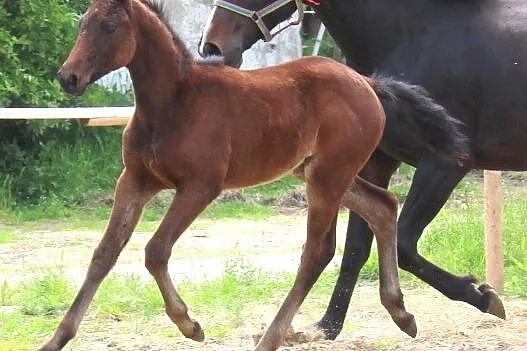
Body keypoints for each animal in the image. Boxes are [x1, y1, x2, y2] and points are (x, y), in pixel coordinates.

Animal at [42, 0, 424, 350]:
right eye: (82, 24)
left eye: (109, 27)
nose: (68, 77)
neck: (174, 102)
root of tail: (367, 82)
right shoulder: (135, 180)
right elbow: (104, 253)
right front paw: (56, 339)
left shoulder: (201, 186)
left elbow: (156, 250)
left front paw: (190, 325)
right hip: (323, 173)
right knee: (383, 206)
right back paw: (401, 314)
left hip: (329, 178)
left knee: (318, 251)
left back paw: (270, 338)